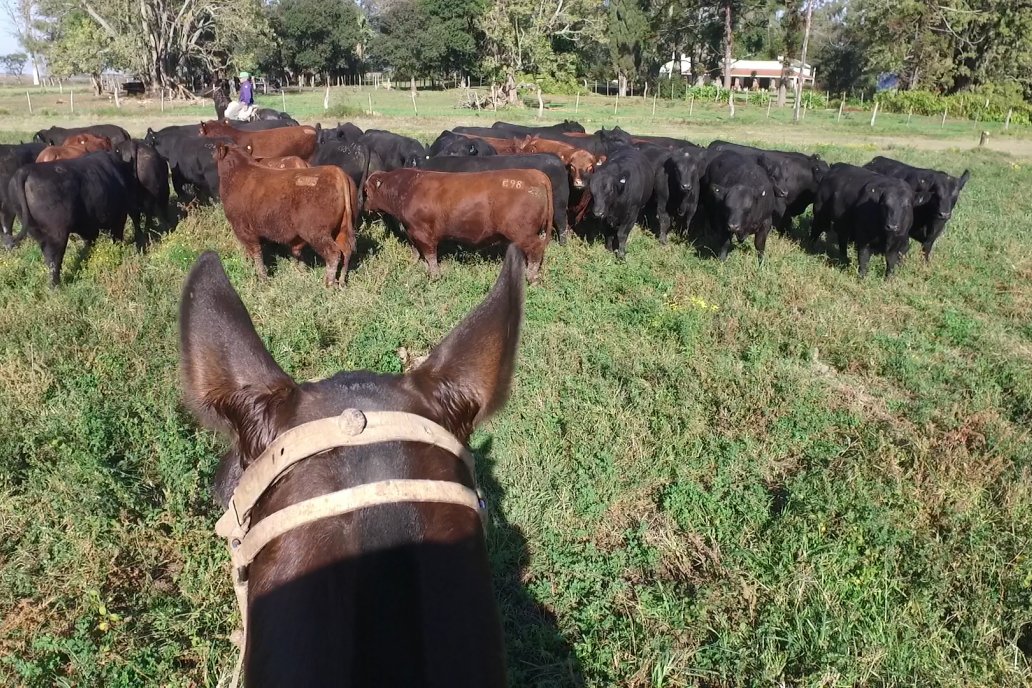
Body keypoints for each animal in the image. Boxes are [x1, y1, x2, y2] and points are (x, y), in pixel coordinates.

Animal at [7, 153, 136, 284]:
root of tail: (25, 170)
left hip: (36, 231)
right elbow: (116, 237)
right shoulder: (119, 217)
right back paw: (56, 284)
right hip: (57, 232)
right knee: (54, 257)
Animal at [214, 145, 359, 284]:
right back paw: (341, 282)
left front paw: (262, 278)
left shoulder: (243, 229)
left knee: (333, 254)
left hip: (317, 233)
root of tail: (336, 172)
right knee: (346, 251)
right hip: (341, 229)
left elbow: (255, 252)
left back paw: (328, 284)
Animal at [365, 167, 553, 282]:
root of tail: (534, 174)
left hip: (523, 232)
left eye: (366, 191)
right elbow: (416, 253)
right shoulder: (412, 232)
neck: (407, 188)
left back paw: (531, 276)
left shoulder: (423, 234)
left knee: (536, 249)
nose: (366, 207)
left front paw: (434, 276)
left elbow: (430, 256)